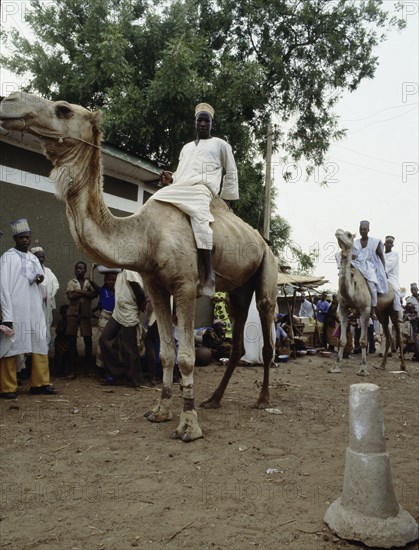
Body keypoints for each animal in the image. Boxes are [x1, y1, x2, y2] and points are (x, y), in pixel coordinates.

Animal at [1, 92, 280, 442]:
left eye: (63, 109)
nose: (9, 101)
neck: (144, 235)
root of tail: (261, 239)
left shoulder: (185, 285)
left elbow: (186, 357)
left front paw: (189, 425)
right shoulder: (156, 286)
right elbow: (165, 353)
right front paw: (160, 411)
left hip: (266, 270)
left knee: (267, 332)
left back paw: (263, 399)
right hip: (237, 290)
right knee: (239, 340)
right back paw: (214, 399)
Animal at [334, 226, 406, 378]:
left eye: (348, 234)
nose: (338, 231)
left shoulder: (365, 310)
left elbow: (363, 341)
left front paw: (362, 369)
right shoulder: (342, 309)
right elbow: (342, 340)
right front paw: (336, 367)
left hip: (394, 310)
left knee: (399, 336)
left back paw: (403, 366)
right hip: (381, 313)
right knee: (388, 336)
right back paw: (382, 365)